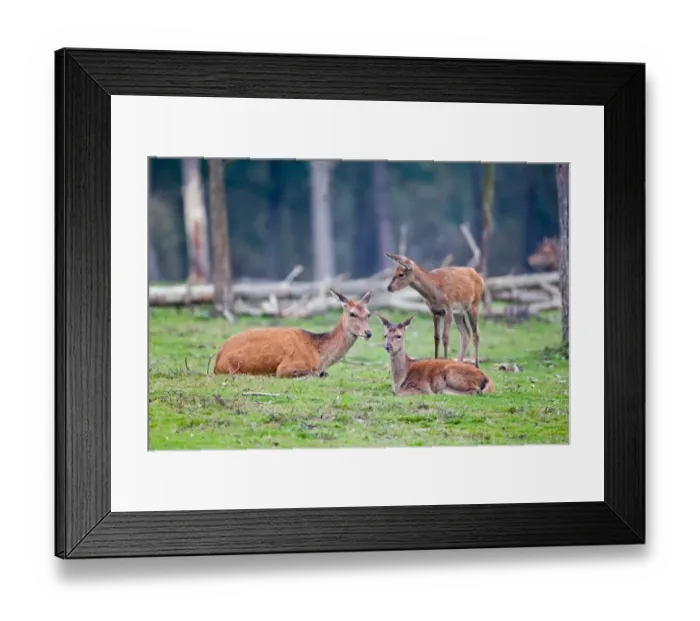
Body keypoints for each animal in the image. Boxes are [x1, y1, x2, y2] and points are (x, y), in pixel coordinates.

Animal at [212, 289, 373, 378]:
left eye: (368, 314)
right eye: (352, 313)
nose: (369, 332)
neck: (319, 355)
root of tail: (217, 359)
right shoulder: (286, 367)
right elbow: (314, 374)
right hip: (232, 368)